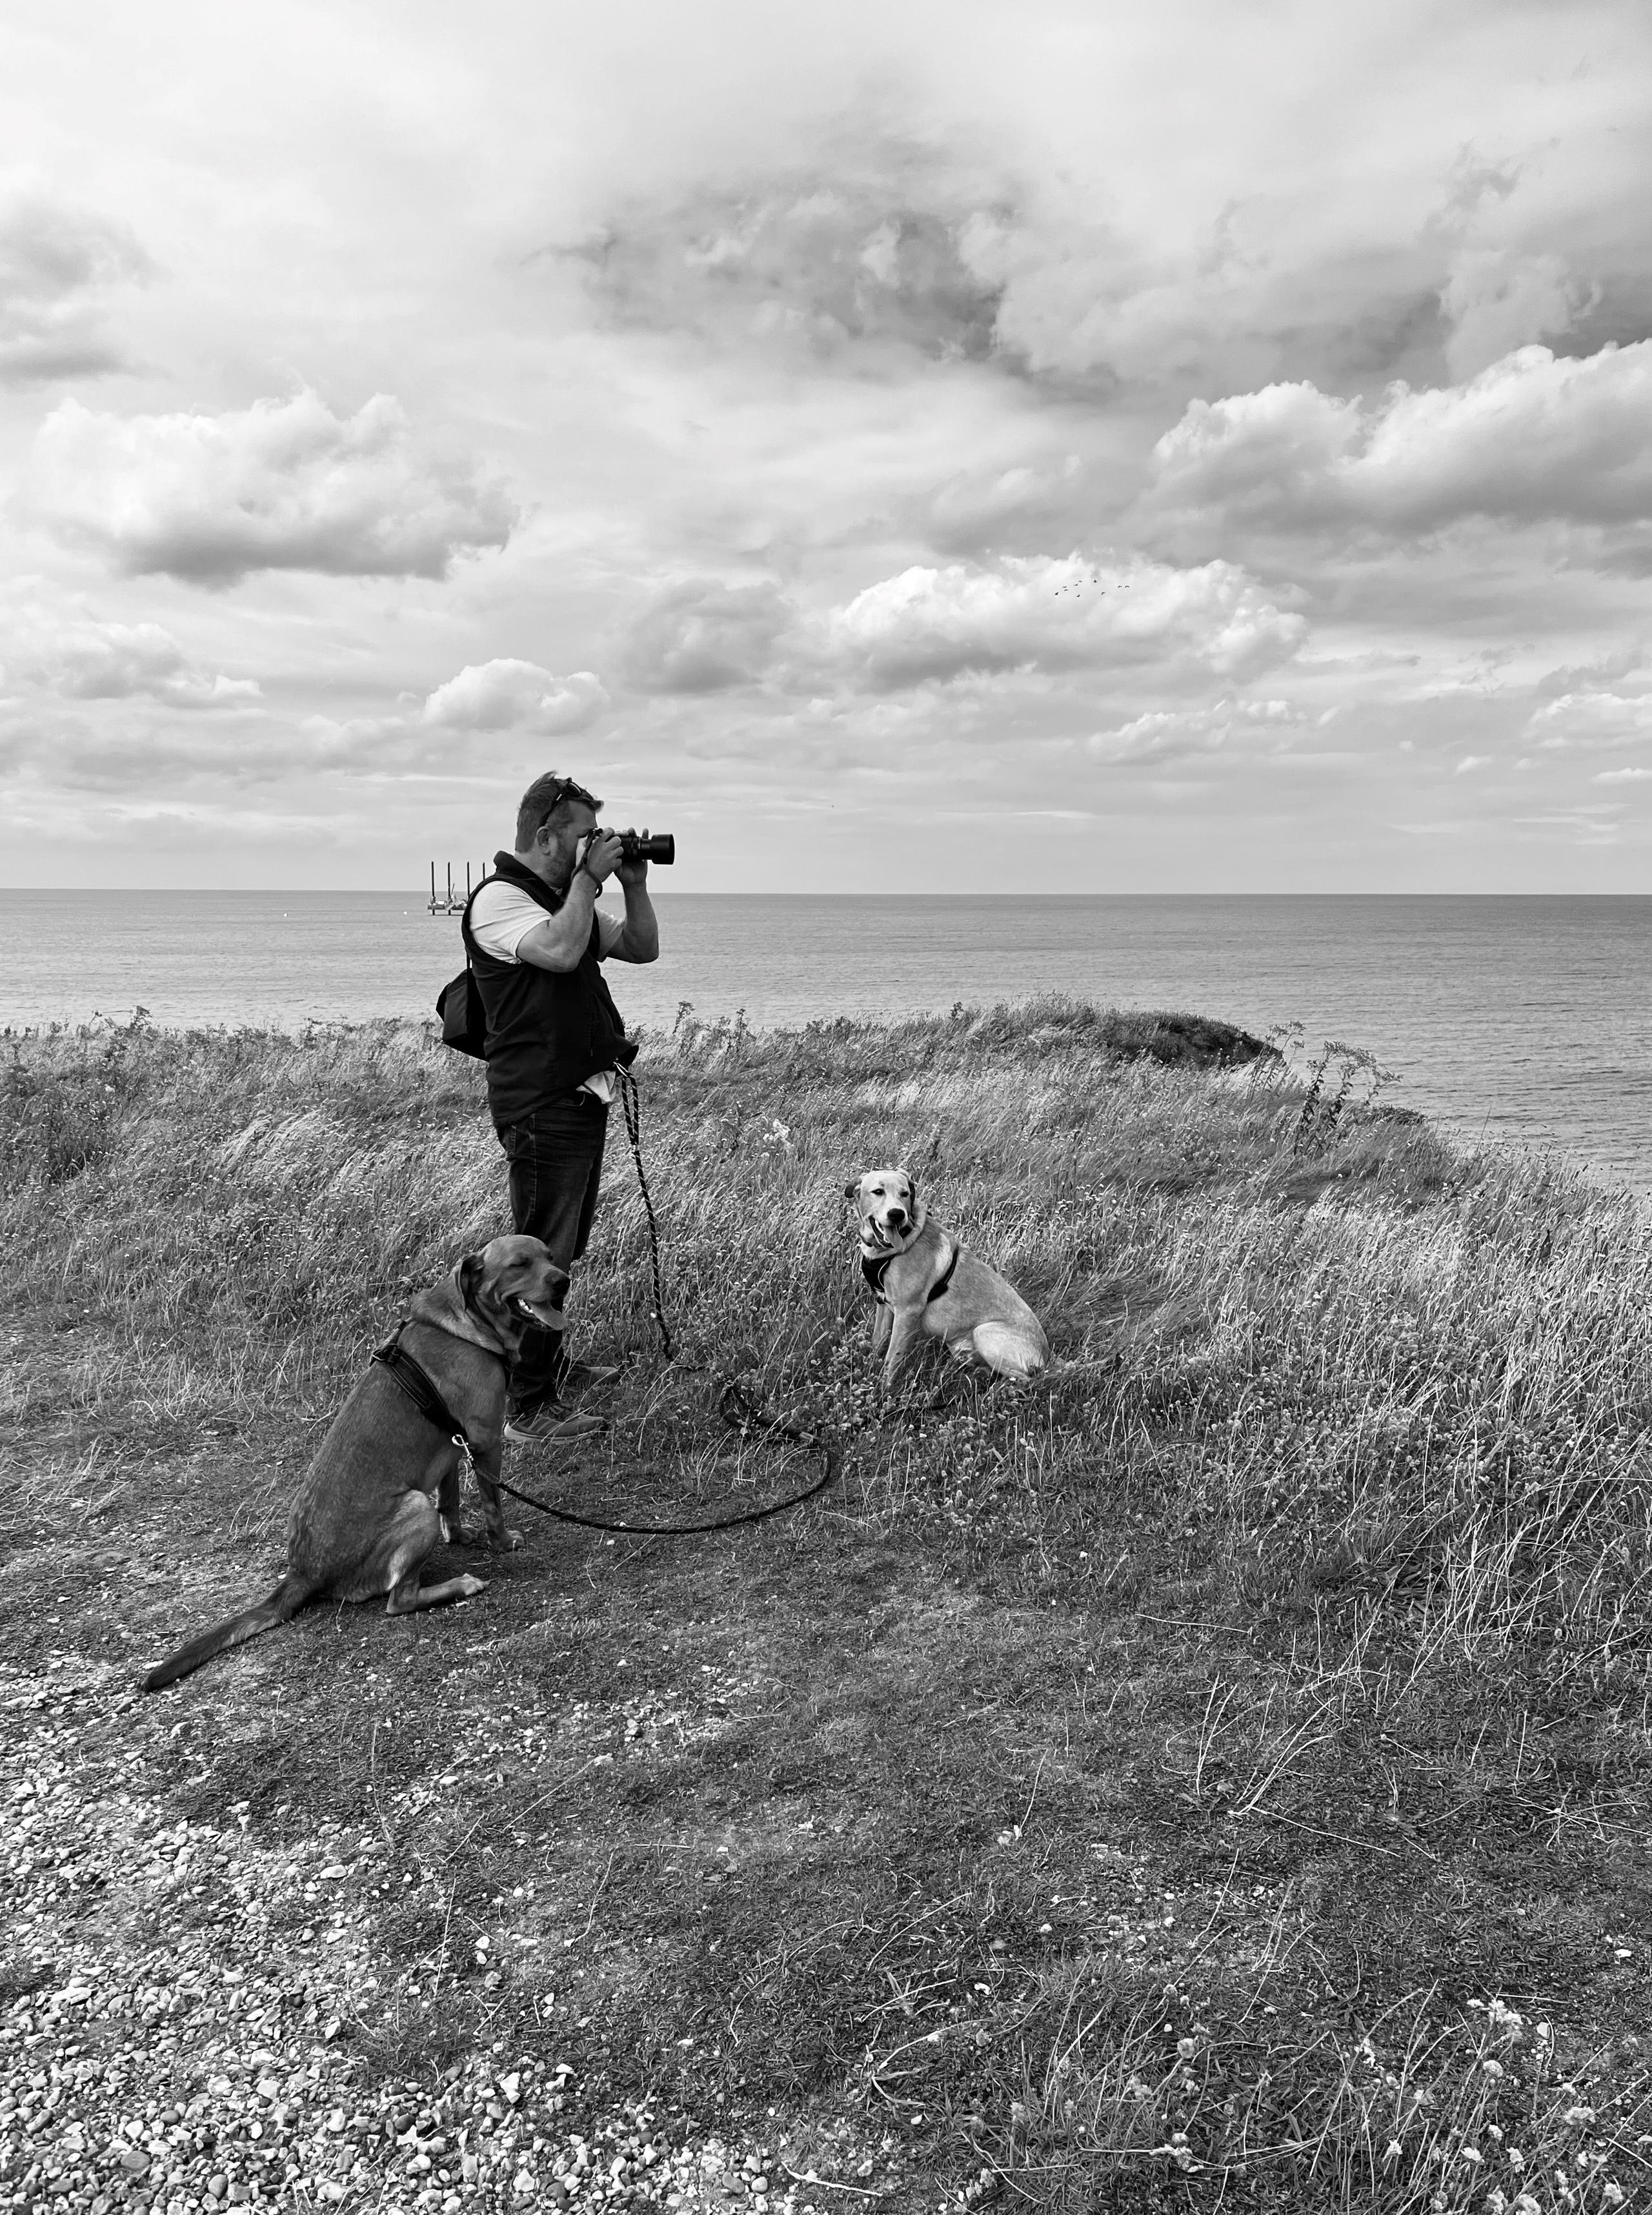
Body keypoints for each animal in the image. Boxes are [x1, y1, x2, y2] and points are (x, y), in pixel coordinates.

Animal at [141, 1231, 567, 1692]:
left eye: (550, 1257)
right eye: (519, 1264)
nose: (563, 1280)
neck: (468, 1327)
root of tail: (303, 1573)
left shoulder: (452, 1448)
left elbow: (451, 1502)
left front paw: (459, 1536)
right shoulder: (487, 1441)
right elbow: (493, 1504)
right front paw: (501, 1542)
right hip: (415, 1507)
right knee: (399, 1601)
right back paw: (461, 1585)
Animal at [841, 1169, 1049, 1391]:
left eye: (905, 1194)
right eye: (878, 1192)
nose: (897, 1215)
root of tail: (1048, 1357)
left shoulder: (908, 1311)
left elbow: (893, 1358)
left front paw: (883, 1390)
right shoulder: (883, 1303)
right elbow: (877, 1342)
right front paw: (869, 1368)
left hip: (984, 1333)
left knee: (1028, 1381)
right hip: (961, 1348)